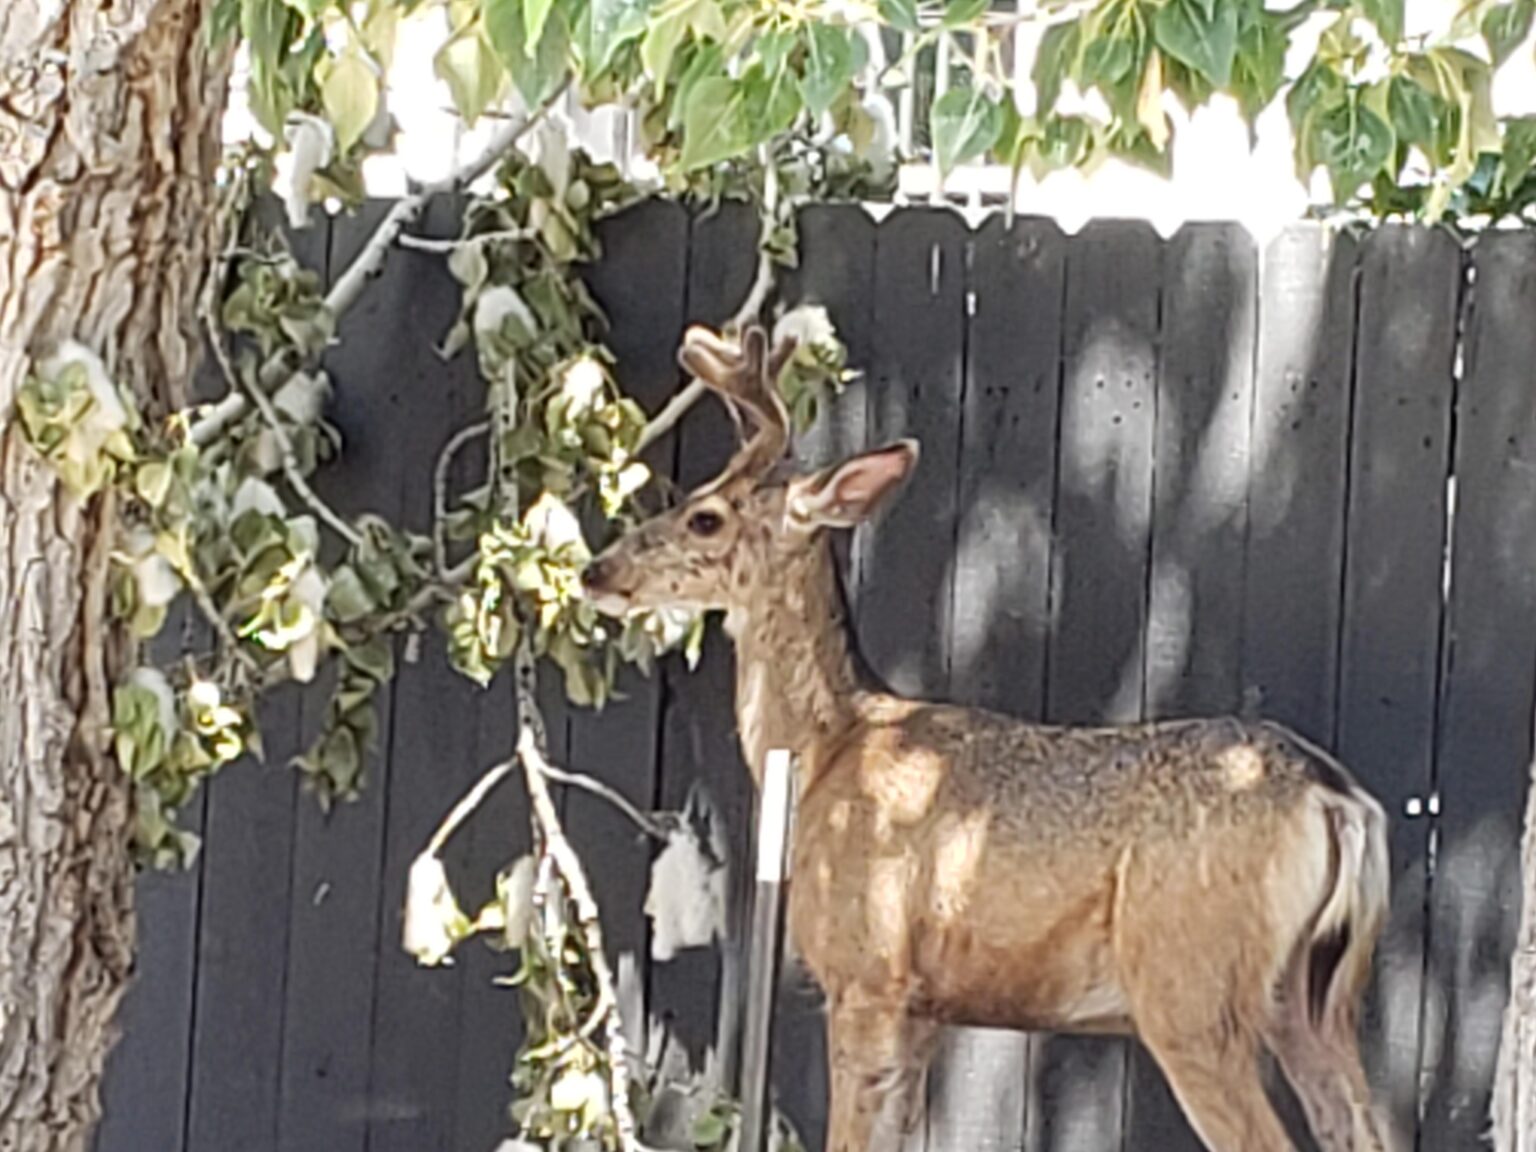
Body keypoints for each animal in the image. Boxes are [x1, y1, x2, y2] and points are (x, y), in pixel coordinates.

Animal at [581, 322, 1393, 1152]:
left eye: (705, 516)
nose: (595, 570)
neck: (825, 748)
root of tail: (1338, 799)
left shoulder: (866, 970)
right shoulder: (923, 1005)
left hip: (1191, 990)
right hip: (1317, 1001)